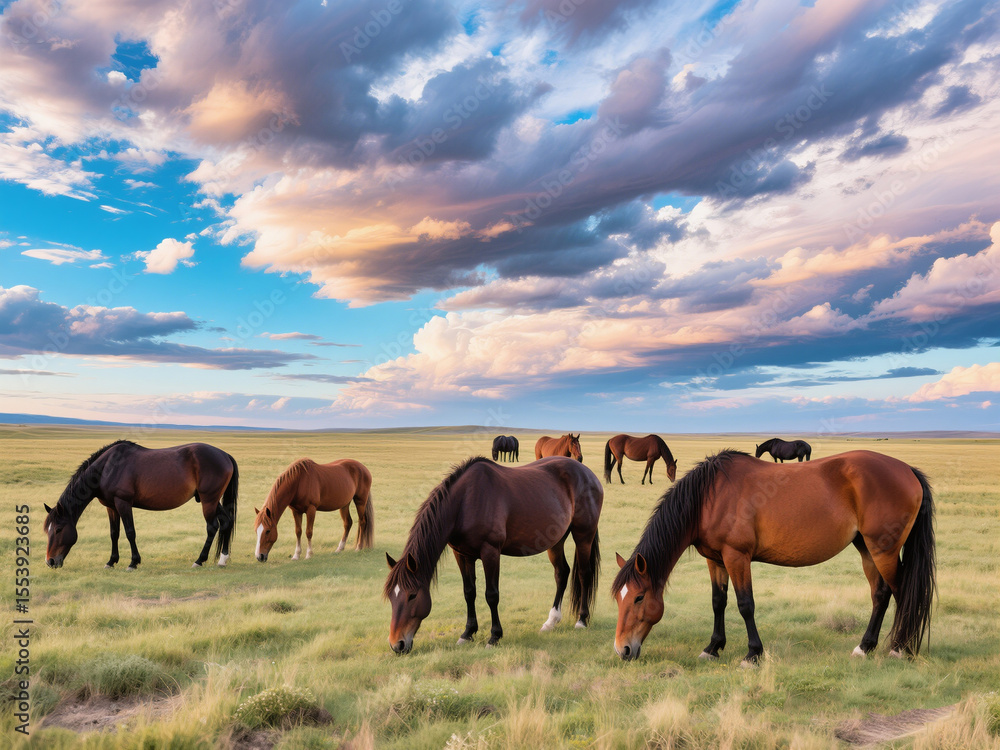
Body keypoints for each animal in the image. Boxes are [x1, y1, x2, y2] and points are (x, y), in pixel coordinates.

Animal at [44, 440, 238, 570]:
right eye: (48, 530)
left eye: (59, 529)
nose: (50, 561)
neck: (107, 468)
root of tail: (225, 455)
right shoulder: (111, 506)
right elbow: (114, 534)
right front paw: (111, 561)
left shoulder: (123, 503)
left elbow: (130, 533)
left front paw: (133, 562)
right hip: (212, 501)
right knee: (226, 522)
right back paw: (223, 559)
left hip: (208, 500)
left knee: (212, 527)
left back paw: (199, 560)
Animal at [384, 456, 603, 653]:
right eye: (391, 597)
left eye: (412, 595)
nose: (397, 644)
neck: (464, 503)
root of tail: (588, 474)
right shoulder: (462, 555)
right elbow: (469, 592)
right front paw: (467, 633)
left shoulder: (490, 552)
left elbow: (491, 595)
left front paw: (494, 636)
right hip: (556, 541)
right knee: (561, 573)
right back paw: (551, 622)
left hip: (584, 536)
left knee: (584, 574)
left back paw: (581, 620)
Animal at [611, 450, 935, 665]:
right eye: (618, 598)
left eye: (639, 598)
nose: (622, 650)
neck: (709, 497)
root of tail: (907, 469)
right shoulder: (715, 560)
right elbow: (718, 602)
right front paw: (713, 648)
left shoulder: (737, 557)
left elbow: (745, 605)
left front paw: (753, 653)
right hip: (867, 548)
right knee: (880, 595)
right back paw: (864, 647)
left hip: (884, 550)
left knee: (902, 592)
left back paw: (900, 648)